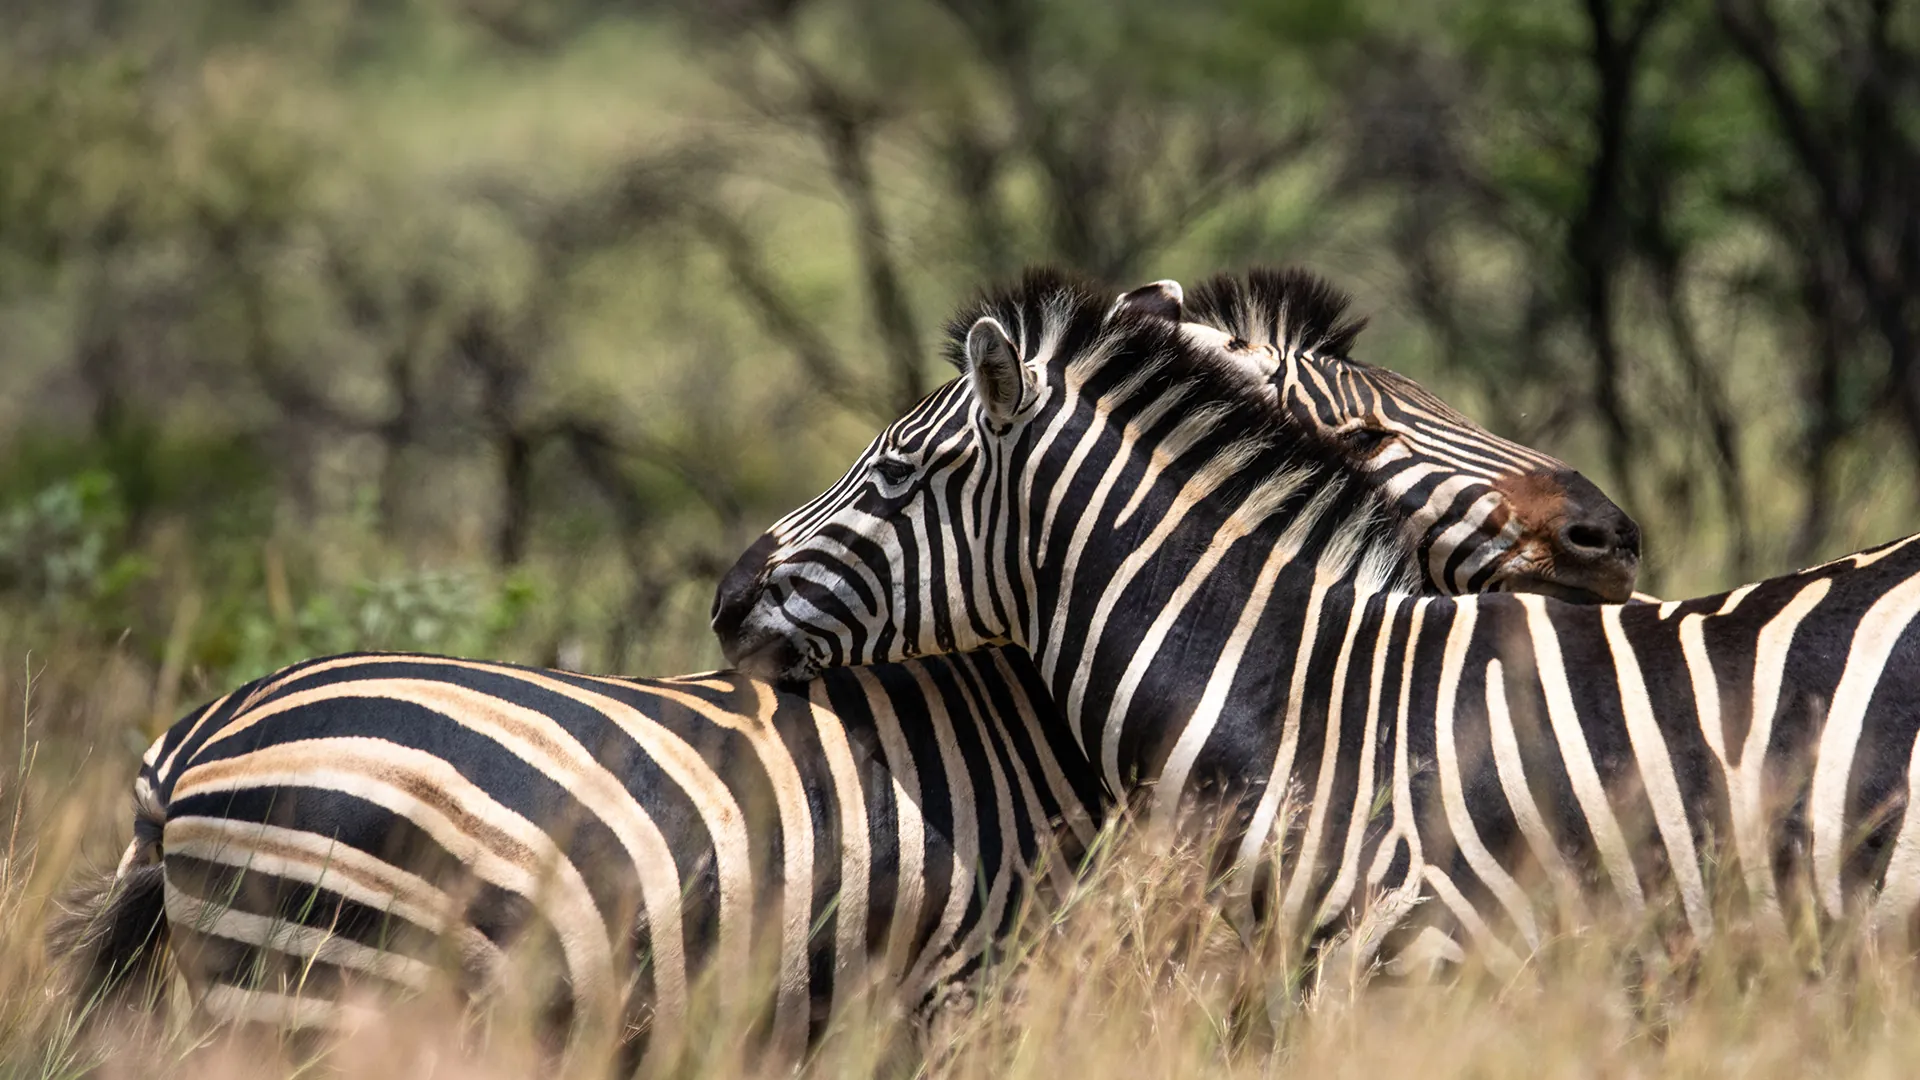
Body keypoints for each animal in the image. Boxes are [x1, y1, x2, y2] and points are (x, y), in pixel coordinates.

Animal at [58, 271, 1636, 1063]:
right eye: (1361, 435)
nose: (1609, 534)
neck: (1010, 724)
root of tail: (187, 750)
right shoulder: (948, 1000)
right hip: (313, 991)